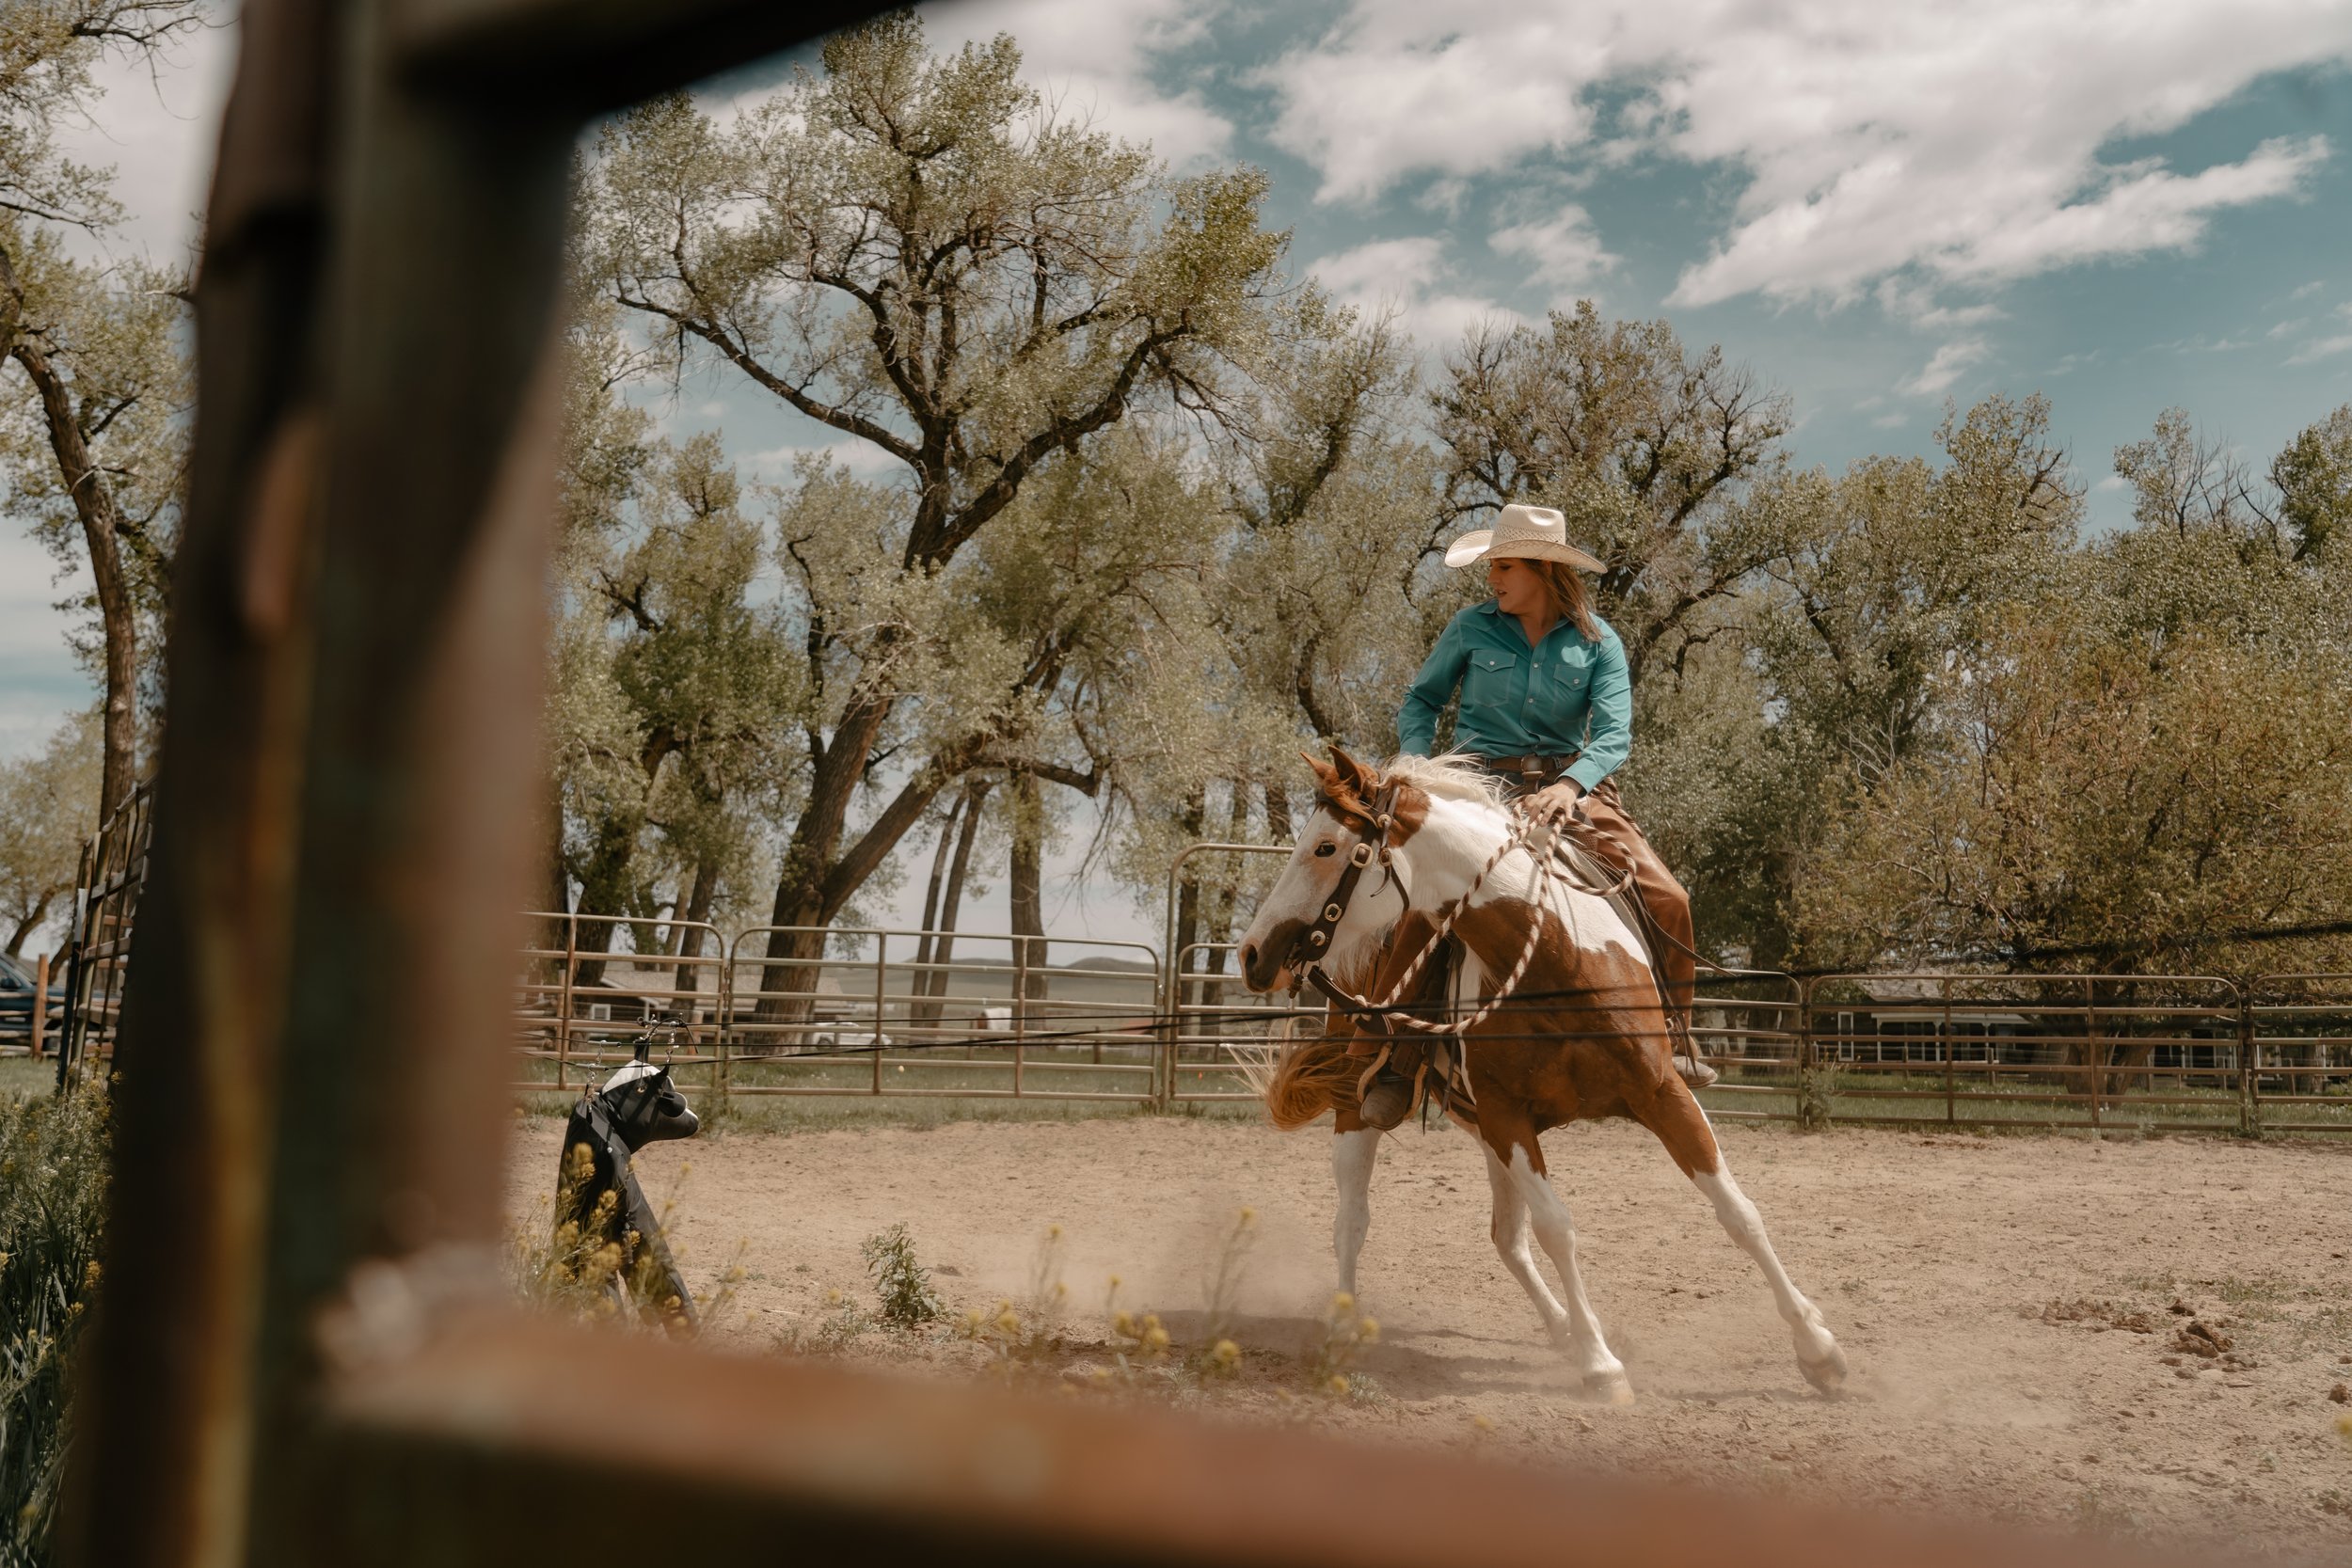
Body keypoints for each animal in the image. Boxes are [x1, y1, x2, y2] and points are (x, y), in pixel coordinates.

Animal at [1234, 747, 1847, 1404]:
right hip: (1363, 1108)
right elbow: (1558, 1230)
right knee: (1352, 1222)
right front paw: (1603, 1368)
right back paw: (1346, 1330)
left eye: (1325, 847)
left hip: (1478, 1124)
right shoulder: (1509, 1117)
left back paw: (1565, 1331)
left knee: (1506, 1237)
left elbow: (1739, 1213)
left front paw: (1819, 1350)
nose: (1251, 953)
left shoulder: (1661, 1094)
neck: (1560, 961)